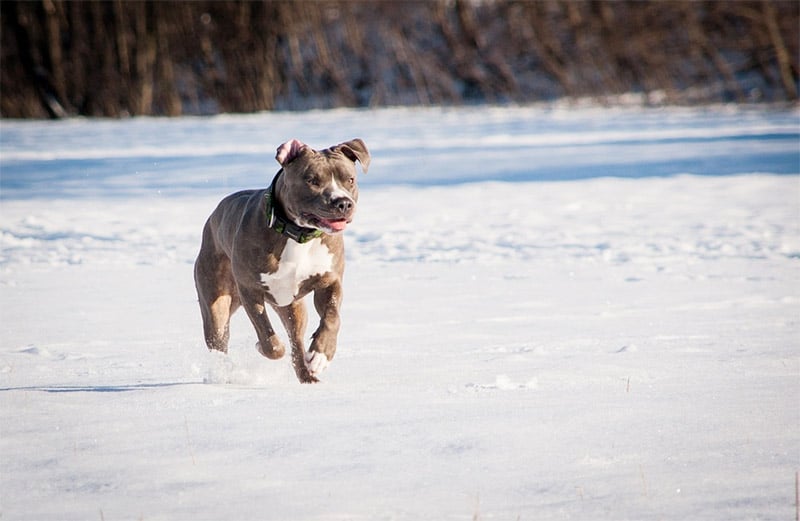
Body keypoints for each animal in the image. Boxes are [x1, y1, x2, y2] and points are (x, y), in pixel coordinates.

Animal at [195, 138, 370, 382]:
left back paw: (307, 374)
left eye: (350, 179)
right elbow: (267, 336)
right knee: (219, 339)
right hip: (215, 301)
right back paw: (223, 372)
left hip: (292, 307)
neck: (298, 235)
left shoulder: (330, 282)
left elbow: (332, 318)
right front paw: (264, 346)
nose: (343, 203)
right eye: (312, 180)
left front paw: (321, 355)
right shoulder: (249, 290)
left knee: (296, 341)